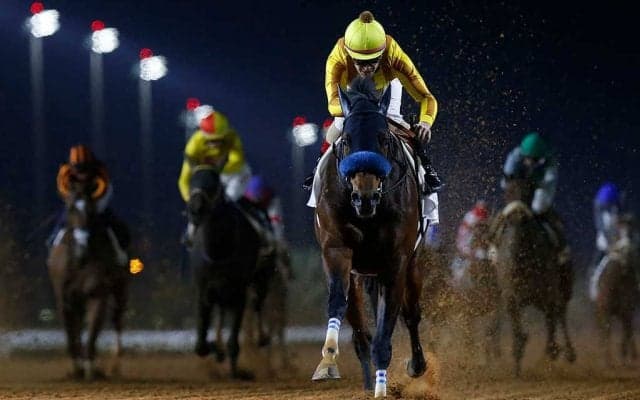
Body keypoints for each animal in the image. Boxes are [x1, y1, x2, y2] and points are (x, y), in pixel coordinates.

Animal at [46, 188, 129, 380]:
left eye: (91, 211)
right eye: (70, 209)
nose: (82, 248)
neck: (80, 261)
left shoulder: (98, 294)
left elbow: (92, 332)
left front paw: (90, 368)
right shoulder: (65, 299)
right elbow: (71, 334)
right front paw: (76, 368)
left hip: (121, 288)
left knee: (117, 320)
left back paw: (114, 367)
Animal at [187, 165, 272, 380]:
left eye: (214, 183)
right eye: (191, 182)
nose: (195, 209)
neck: (218, 250)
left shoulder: (238, 291)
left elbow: (233, 341)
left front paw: (236, 371)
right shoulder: (203, 290)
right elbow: (200, 345)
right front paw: (216, 350)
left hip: (262, 277)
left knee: (257, 303)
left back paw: (261, 337)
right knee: (221, 312)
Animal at [311, 77, 426, 398]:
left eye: (384, 139)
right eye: (346, 140)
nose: (365, 196)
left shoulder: (397, 260)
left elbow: (390, 323)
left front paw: (383, 387)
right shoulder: (337, 250)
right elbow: (338, 303)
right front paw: (328, 361)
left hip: (412, 264)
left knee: (411, 314)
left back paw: (416, 365)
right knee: (362, 328)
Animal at [491, 178, 575, 376]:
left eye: (528, 190)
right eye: (507, 191)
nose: (517, 214)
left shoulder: (549, 294)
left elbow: (552, 325)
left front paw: (552, 355)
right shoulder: (511, 296)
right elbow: (517, 331)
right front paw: (517, 364)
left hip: (565, 285)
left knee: (562, 312)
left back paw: (569, 352)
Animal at [591, 214, 639, 365]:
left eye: (631, 230)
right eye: (618, 231)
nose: (626, 250)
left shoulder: (627, 310)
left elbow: (627, 332)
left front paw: (626, 357)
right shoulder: (605, 309)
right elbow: (607, 331)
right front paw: (608, 360)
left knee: (628, 330)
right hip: (599, 311)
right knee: (603, 330)